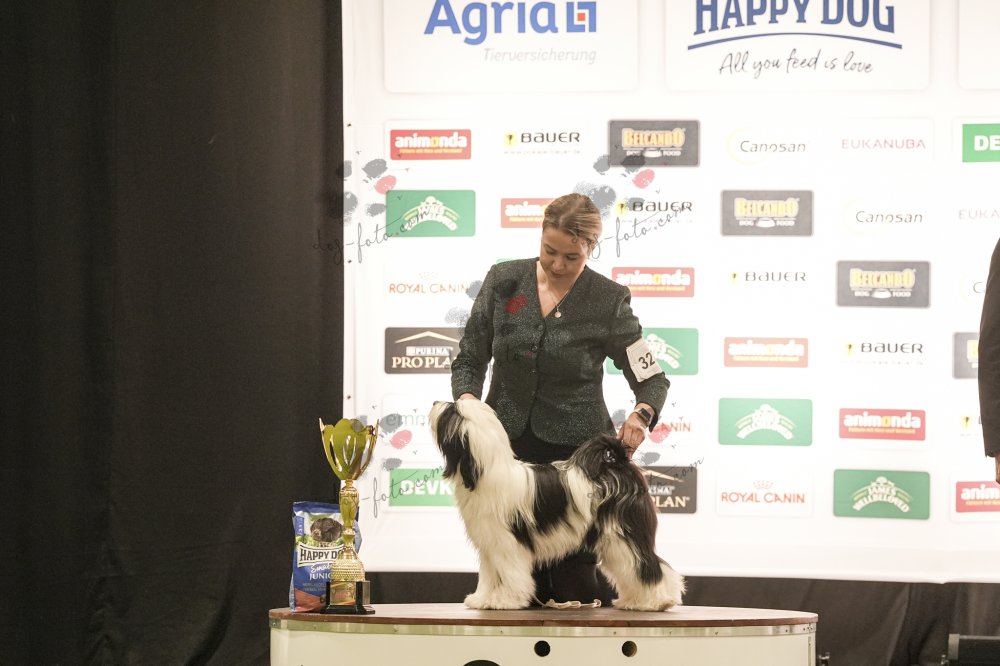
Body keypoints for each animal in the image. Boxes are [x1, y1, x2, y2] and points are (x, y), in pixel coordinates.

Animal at [429, 399, 684, 611]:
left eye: (452, 410)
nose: (434, 403)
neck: (485, 471)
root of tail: (619, 464)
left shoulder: (508, 545)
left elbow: (510, 575)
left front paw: (505, 600)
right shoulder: (491, 546)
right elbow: (490, 576)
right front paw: (483, 599)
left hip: (624, 534)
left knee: (648, 565)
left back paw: (657, 601)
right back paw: (634, 600)